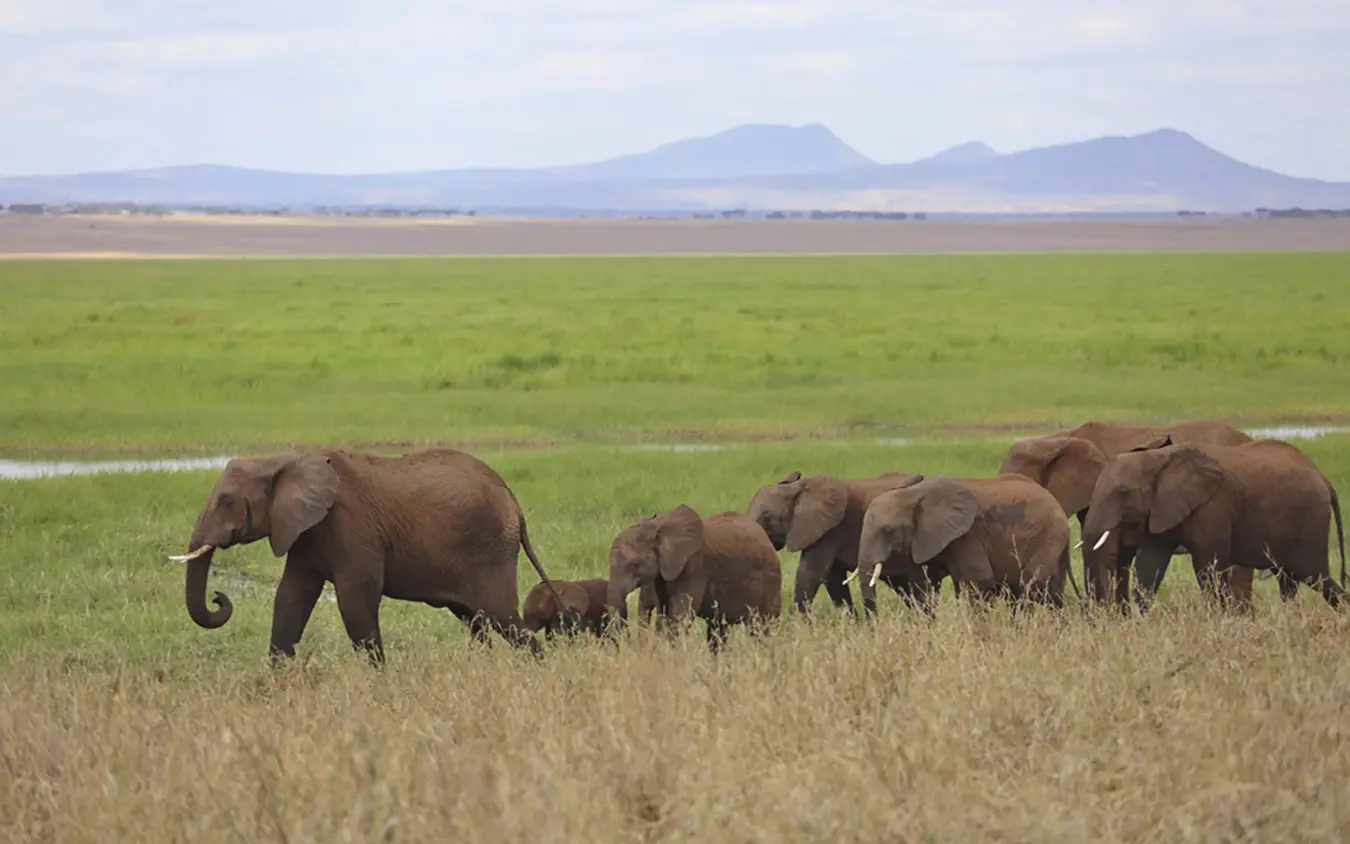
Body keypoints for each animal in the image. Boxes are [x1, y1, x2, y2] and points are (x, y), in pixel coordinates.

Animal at [169, 446, 561, 663]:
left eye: (226, 501)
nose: (219, 598)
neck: (285, 460)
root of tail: (515, 506)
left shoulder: (352, 525)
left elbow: (355, 600)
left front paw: (380, 682)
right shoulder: (305, 530)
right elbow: (291, 597)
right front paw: (276, 682)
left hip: (490, 550)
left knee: (502, 618)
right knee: (477, 620)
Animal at [607, 505, 782, 651]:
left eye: (636, 564)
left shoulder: (694, 566)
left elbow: (679, 617)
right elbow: (663, 615)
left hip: (771, 578)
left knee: (763, 627)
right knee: (717, 629)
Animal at [857, 474, 1078, 609]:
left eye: (888, 530)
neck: (914, 493)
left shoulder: (968, 535)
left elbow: (979, 583)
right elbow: (926, 588)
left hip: (1048, 536)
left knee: (1029, 586)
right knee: (1051, 593)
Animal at [1081, 439, 1347, 611]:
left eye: (1122, 492)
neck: (1156, 458)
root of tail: (1324, 479)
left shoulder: (1213, 506)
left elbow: (1208, 569)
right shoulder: (1162, 509)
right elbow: (1151, 565)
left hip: (1310, 522)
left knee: (1315, 576)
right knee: (1289, 580)